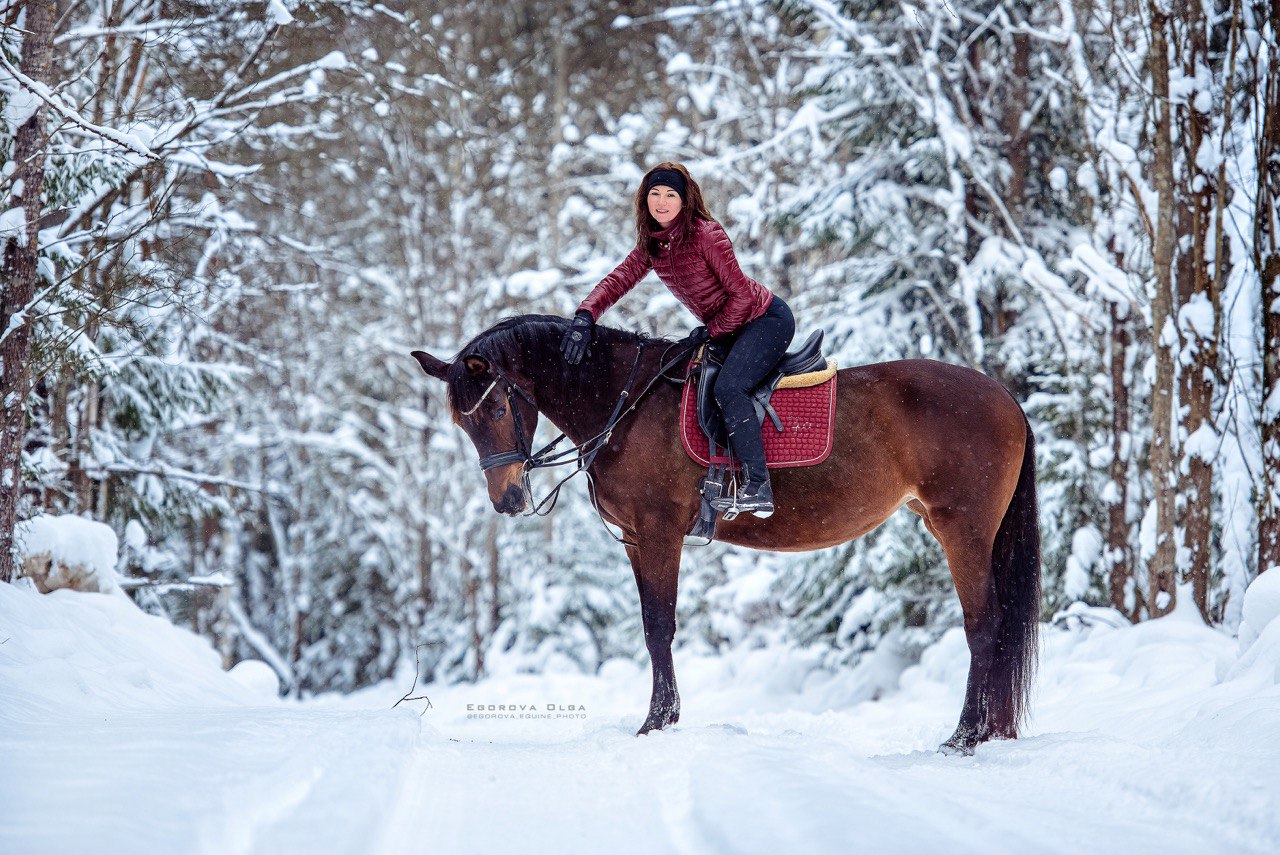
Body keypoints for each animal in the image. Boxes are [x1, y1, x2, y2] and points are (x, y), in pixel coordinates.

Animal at [412, 316, 1039, 752]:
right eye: (461, 421)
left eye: (495, 409)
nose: (507, 499)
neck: (628, 404)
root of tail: (1005, 398)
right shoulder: (638, 540)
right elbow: (653, 629)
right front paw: (663, 718)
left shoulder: (659, 533)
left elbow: (659, 629)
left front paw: (657, 723)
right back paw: (988, 731)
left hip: (963, 530)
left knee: (985, 627)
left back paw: (965, 737)